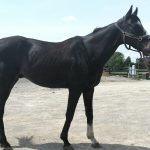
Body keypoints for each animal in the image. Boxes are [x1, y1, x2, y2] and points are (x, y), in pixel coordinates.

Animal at [0, 5, 150, 150]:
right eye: (135, 26)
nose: (148, 48)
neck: (88, 53)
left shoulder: (89, 89)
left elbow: (89, 113)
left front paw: (93, 140)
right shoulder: (75, 89)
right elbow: (70, 114)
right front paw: (66, 141)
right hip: (6, 83)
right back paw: (6, 143)